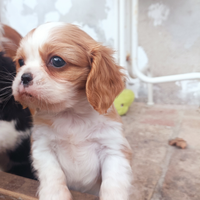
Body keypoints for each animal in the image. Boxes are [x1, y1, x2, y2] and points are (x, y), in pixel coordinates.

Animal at [11, 22, 132, 200]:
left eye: (57, 61)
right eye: (21, 61)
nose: (24, 77)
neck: (71, 114)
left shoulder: (113, 148)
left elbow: (113, 182)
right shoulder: (43, 146)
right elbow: (52, 172)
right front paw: (54, 194)